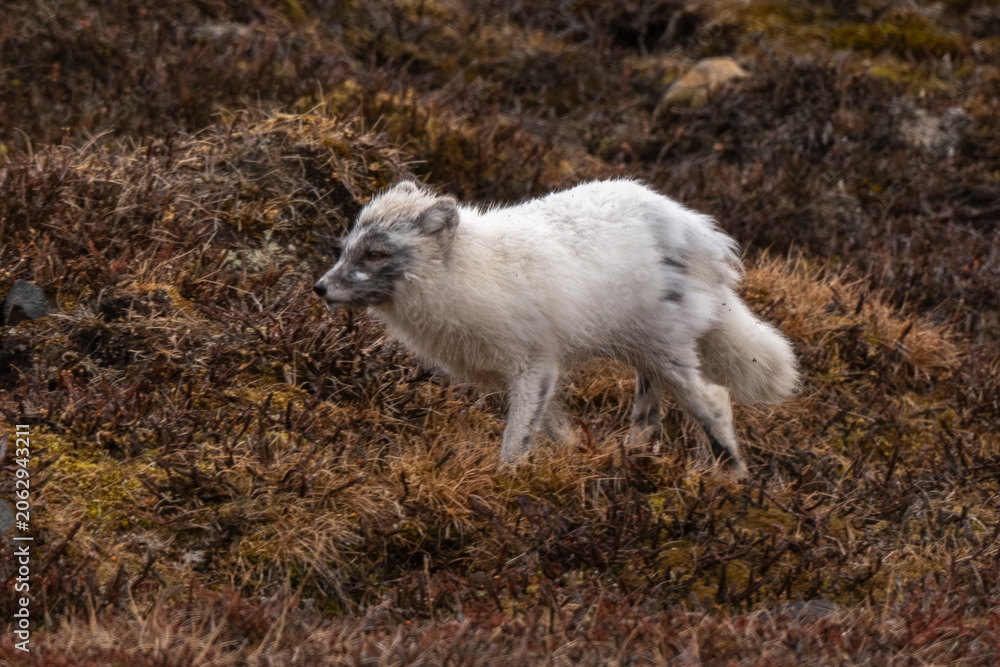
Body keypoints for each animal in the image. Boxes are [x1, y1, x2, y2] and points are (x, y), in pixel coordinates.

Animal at [313, 179, 799, 474]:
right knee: (649, 417)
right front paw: (573, 461)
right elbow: (554, 430)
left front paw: (506, 487)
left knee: (714, 401)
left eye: (376, 254)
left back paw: (732, 482)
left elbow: (516, 441)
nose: (320, 288)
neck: (467, 270)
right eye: (347, 247)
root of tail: (699, 231)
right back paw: (635, 459)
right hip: (643, 350)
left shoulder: (535, 365)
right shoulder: (518, 376)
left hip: (667, 350)